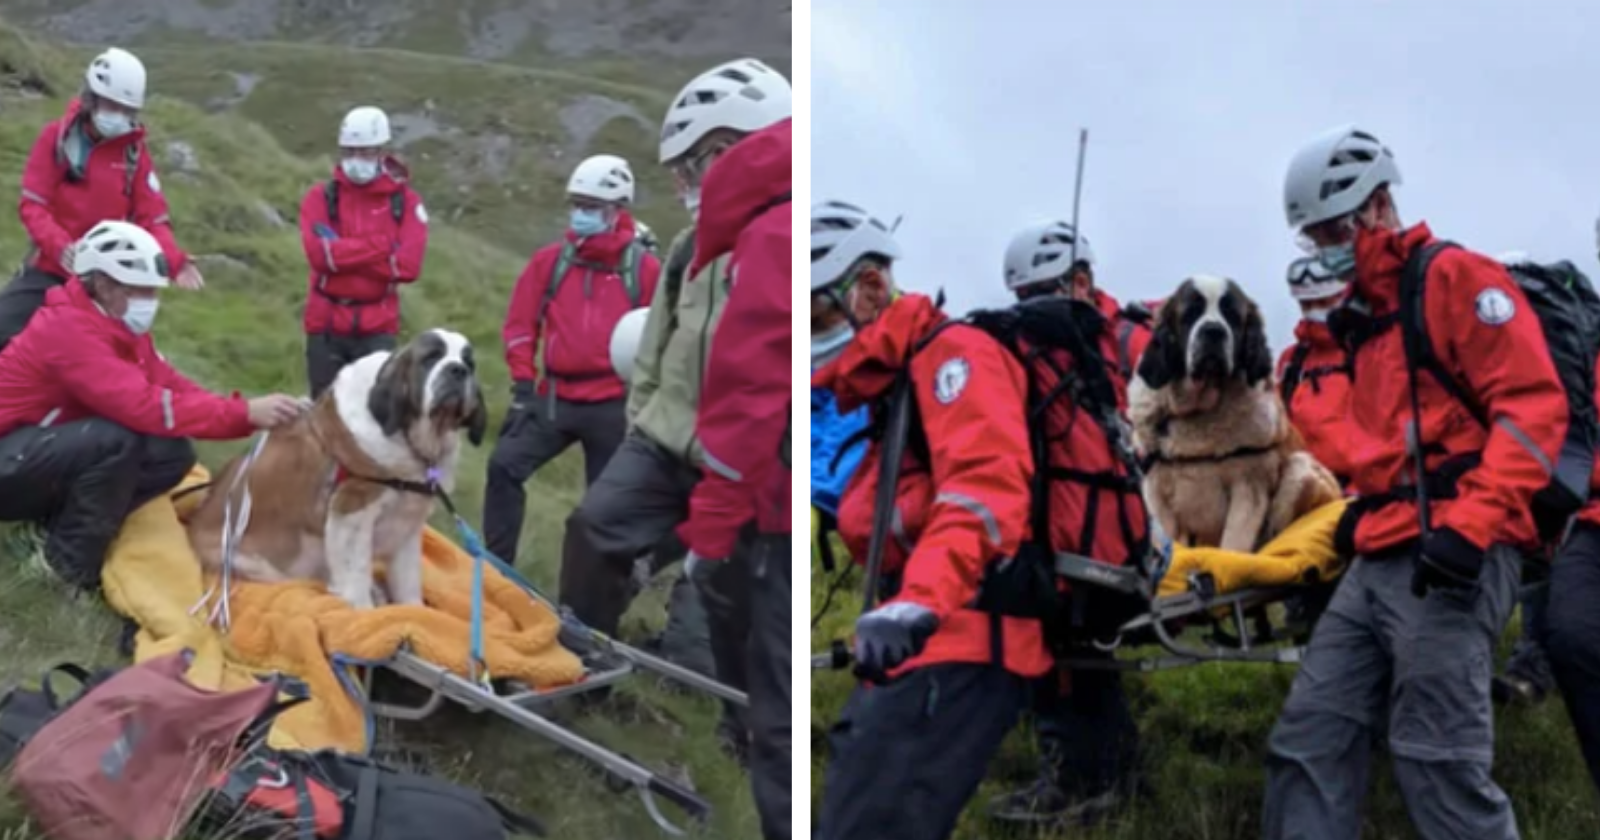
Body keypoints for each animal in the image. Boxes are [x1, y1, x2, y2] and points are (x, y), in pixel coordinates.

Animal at [185, 328, 486, 608]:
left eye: (469, 364)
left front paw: (413, 610)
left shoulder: (409, 521)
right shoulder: (353, 509)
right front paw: (365, 610)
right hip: (249, 561)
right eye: (431, 357)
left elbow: (408, 580)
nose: (458, 370)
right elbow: (356, 575)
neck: (409, 438)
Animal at [1132, 272, 1344, 553]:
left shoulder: (1248, 488)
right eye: (1191, 313)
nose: (1213, 331)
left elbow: (1233, 545)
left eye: (1231, 315)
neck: (1201, 411)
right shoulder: (1159, 497)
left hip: (1302, 470)